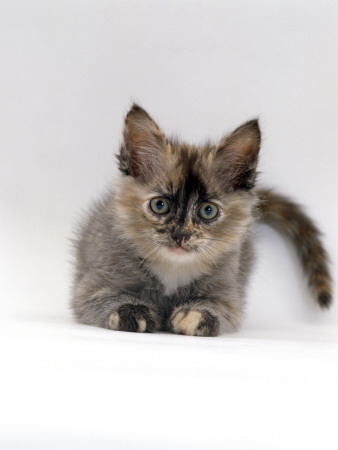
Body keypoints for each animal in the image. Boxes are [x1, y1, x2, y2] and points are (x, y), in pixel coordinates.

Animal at [70, 103, 332, 336]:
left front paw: (195, 315)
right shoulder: (91, 288)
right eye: (160, 205)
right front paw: (133, 312)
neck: (172, 268)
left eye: (208, 211)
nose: (180, 235)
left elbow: (215, 309)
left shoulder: (228, 297)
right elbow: (106, 300)